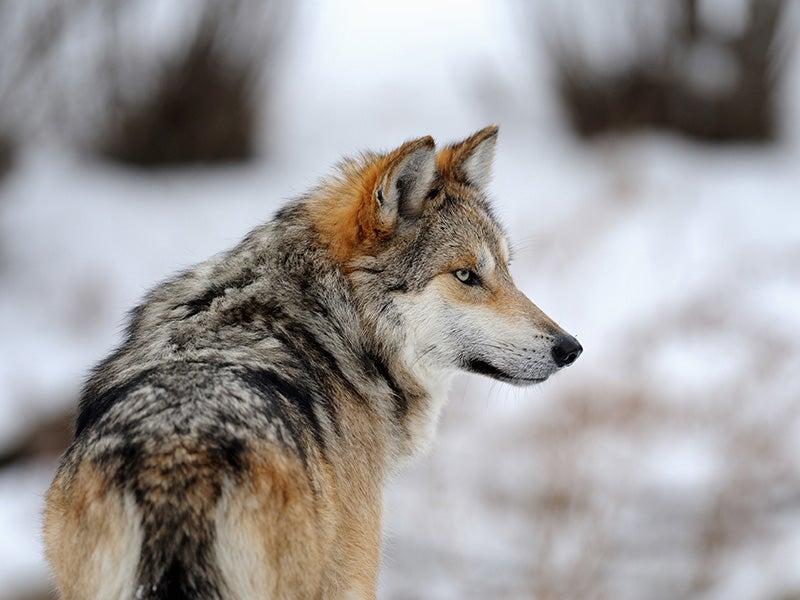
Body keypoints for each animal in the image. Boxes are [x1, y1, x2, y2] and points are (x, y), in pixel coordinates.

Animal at [42, 124, 580, 596]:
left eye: (507, 270)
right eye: (466, 275)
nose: (570, 348)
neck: (334, 324)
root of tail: (176, 463)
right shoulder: (354, 574)